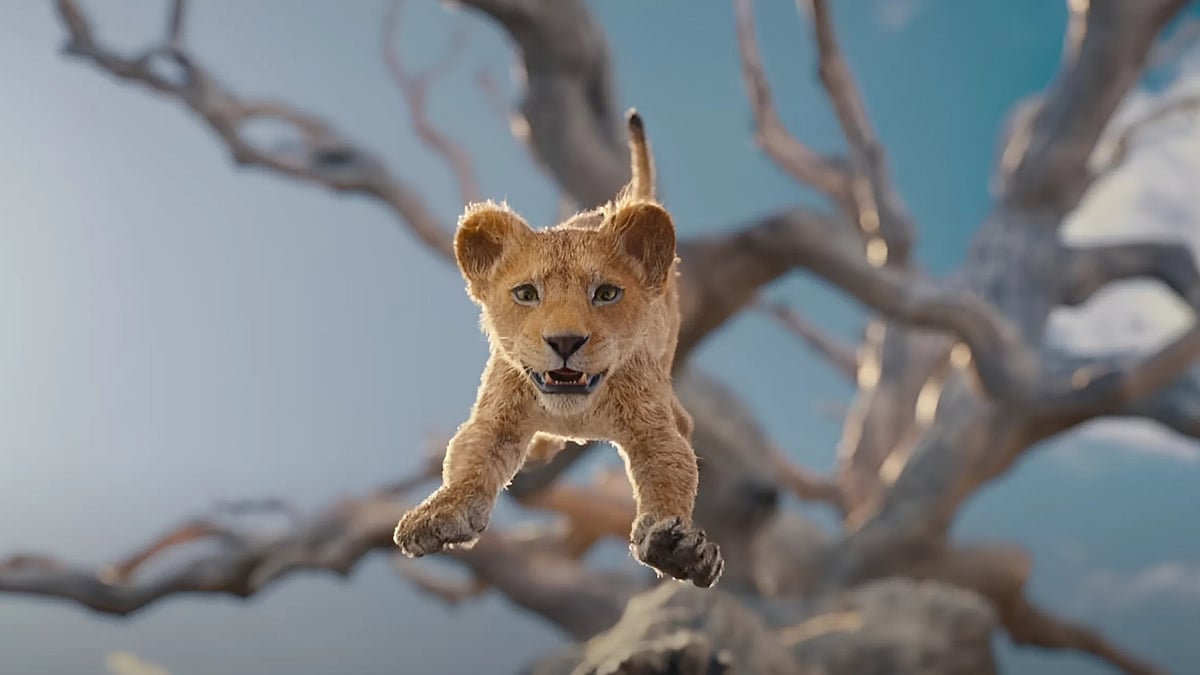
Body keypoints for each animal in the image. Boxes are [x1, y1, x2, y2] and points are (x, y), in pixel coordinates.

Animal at [393, 110, 723, 588]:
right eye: (527, 293)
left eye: (606, 294)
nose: (565, 341)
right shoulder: (497, 415)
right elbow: (469, 461)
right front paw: (440, 514)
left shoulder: (652, 426)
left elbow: (670, 471)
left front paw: (678, 549)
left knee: (684, 421)